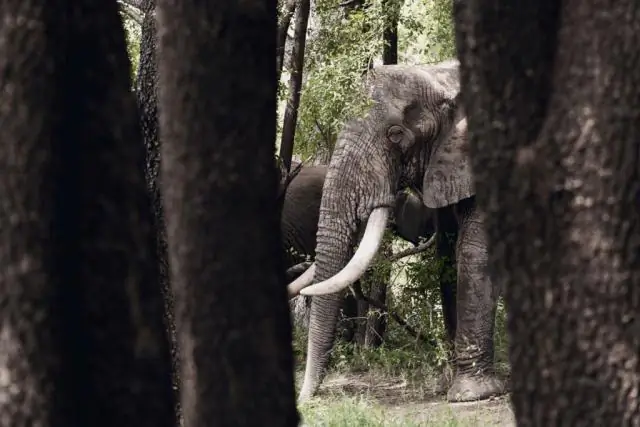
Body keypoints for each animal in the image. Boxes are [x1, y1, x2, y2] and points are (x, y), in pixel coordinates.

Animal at [288, 60, 504, 404]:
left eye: (395, 135)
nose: (304, 399)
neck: (441, 75)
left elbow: (475, 252)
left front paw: (469, 395)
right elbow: (448, 253)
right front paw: (448, 385)